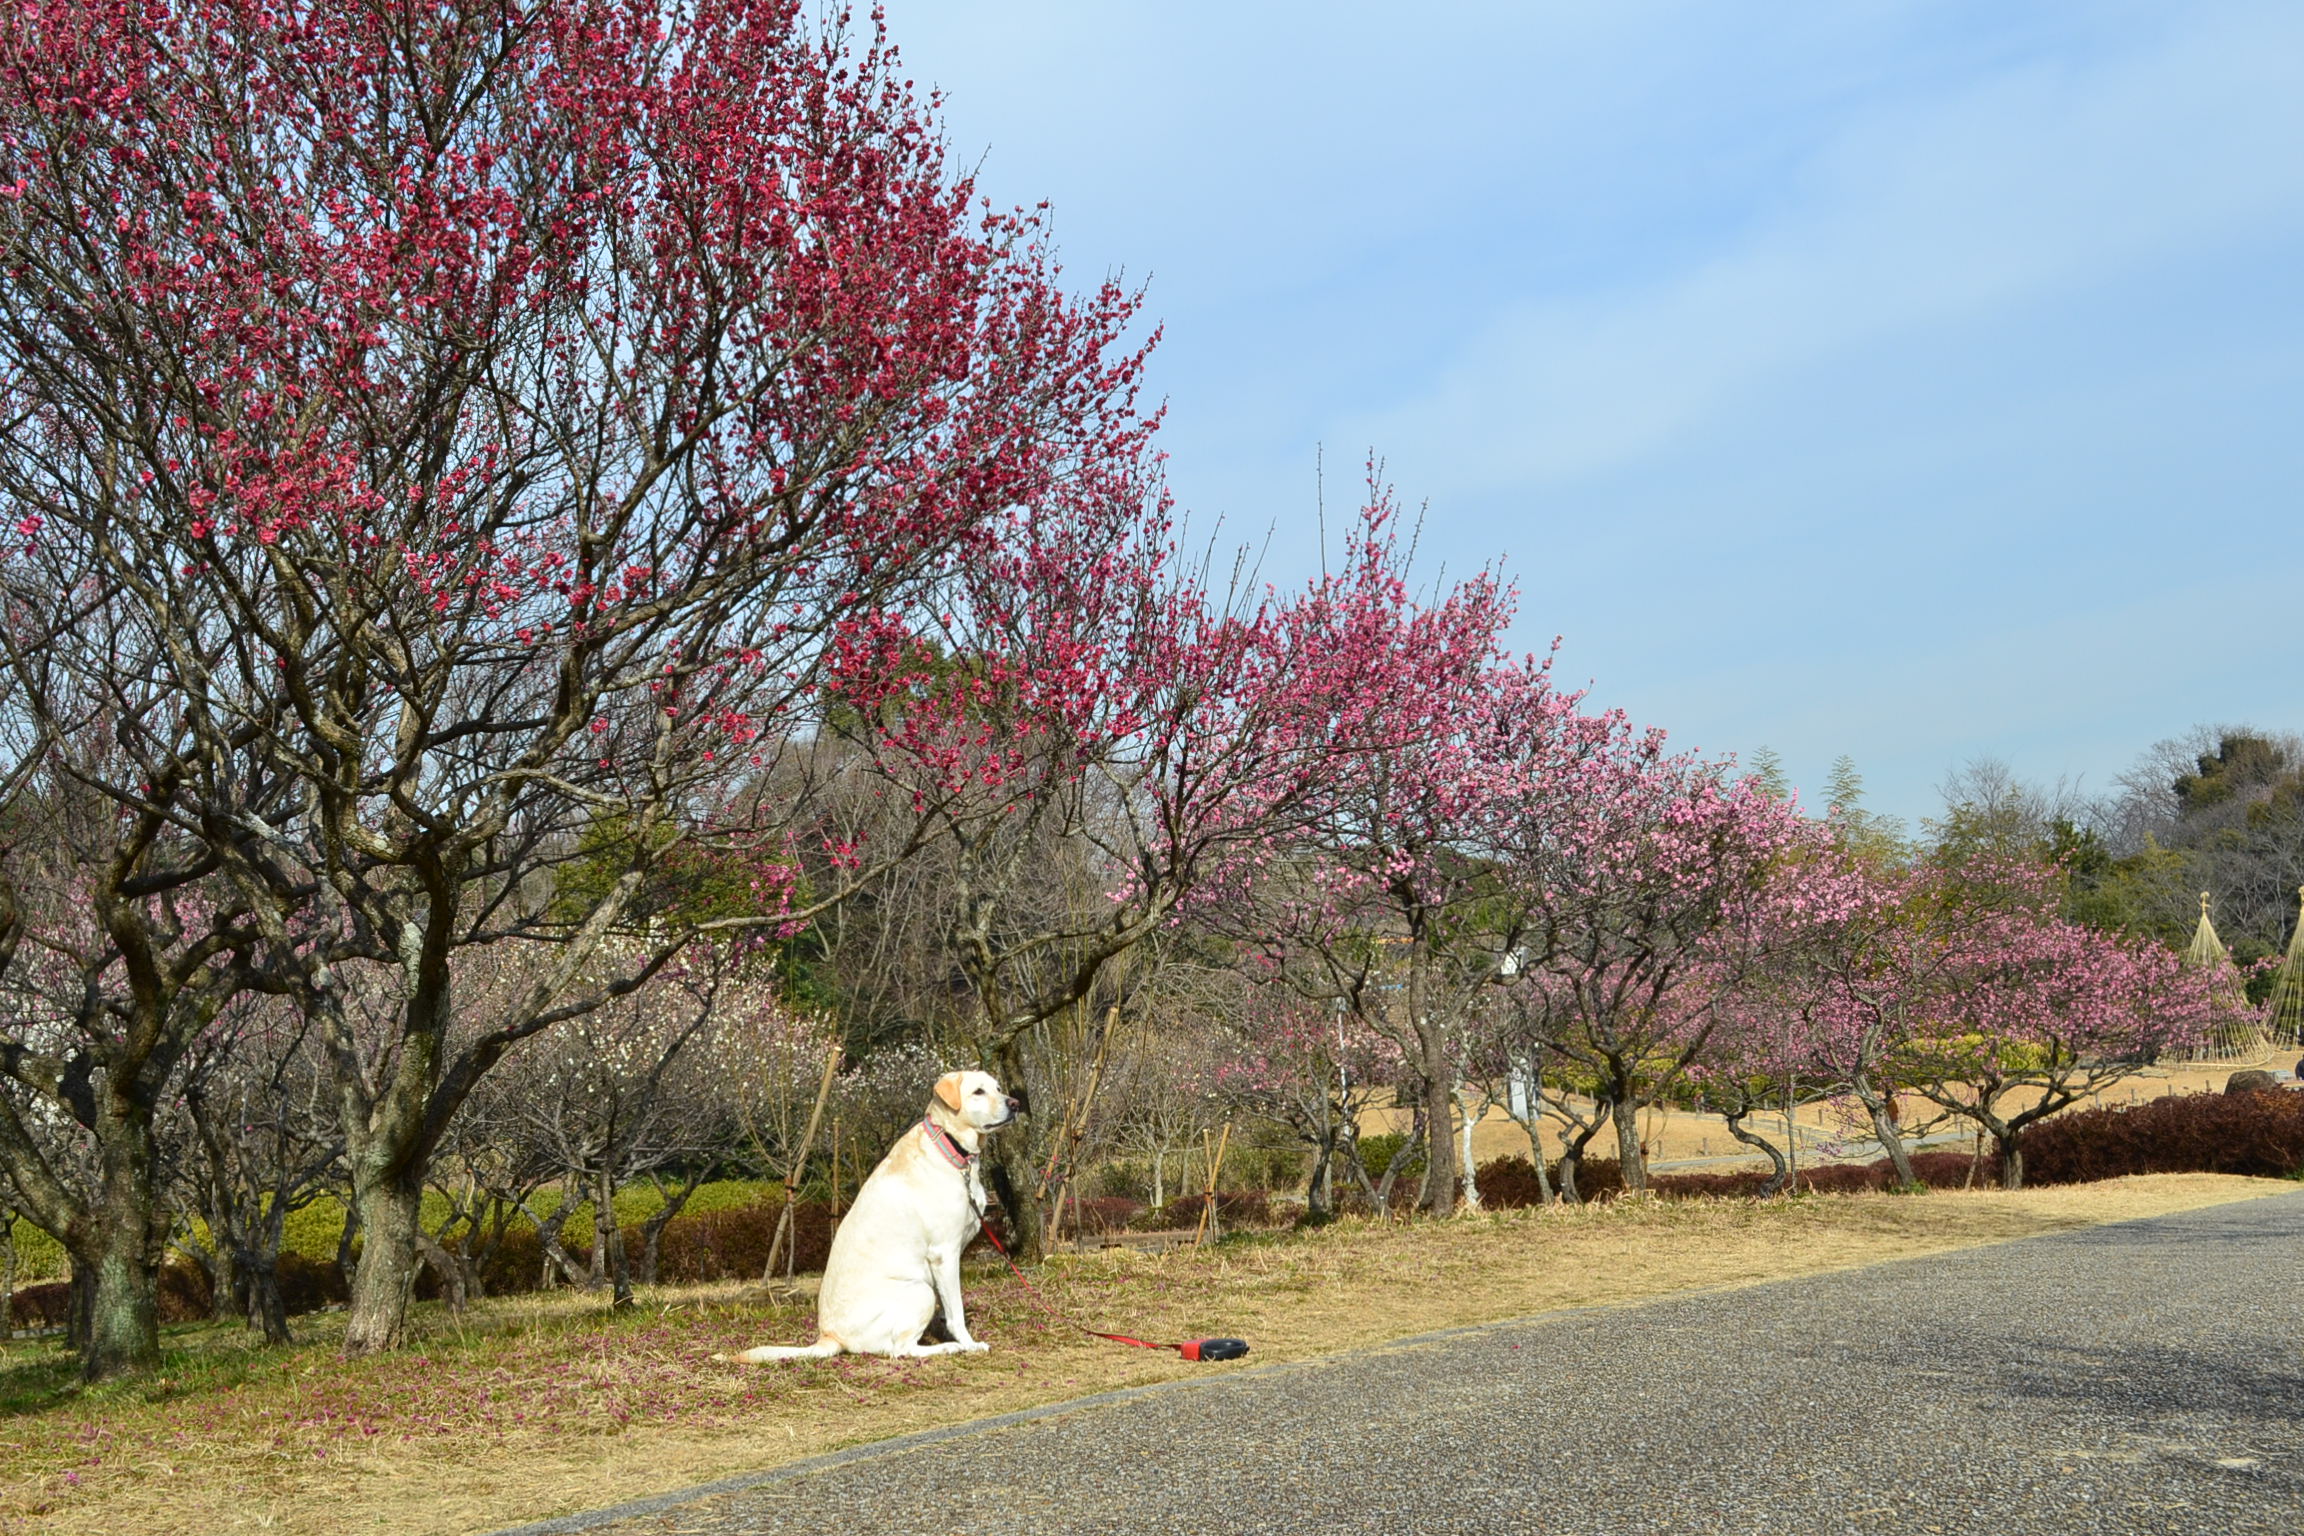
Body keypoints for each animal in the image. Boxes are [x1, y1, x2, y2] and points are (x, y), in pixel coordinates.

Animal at [714, 1068, 1013, 1354]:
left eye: (998, 1087)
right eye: (978, 1091)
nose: (1016, 1103)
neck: (949, 1144)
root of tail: (830, 1337)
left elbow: (948, 1307)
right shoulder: (944, 1253)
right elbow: (956, 1312)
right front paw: (968, 1343)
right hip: (920, 1290)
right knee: (900, 1350)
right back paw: (947, 1348)